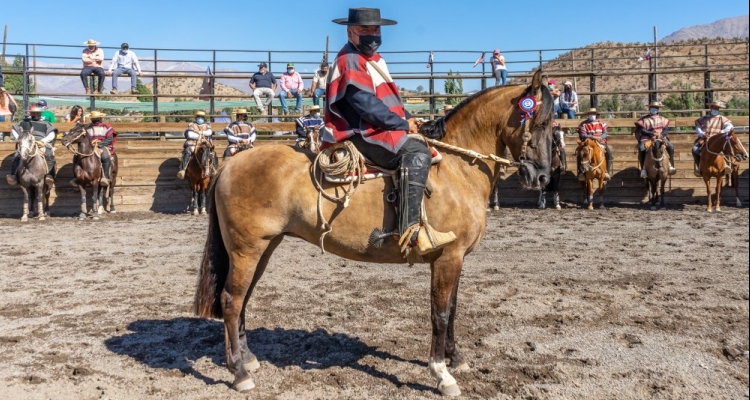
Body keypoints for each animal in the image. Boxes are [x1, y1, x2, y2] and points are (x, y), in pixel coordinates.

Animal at [195, 70, 560, 396]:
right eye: (541, 123)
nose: (542, 177)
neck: (456, 168)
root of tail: (231, 164)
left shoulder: (456, 260)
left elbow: (454, 308)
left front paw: (456, 358)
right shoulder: (448, 257)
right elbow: (440, 313)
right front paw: (441, 373)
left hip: (262, 248)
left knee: (242, 299)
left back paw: (248, 359)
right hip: (247, 249)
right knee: (231, 300)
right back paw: (239, 372)